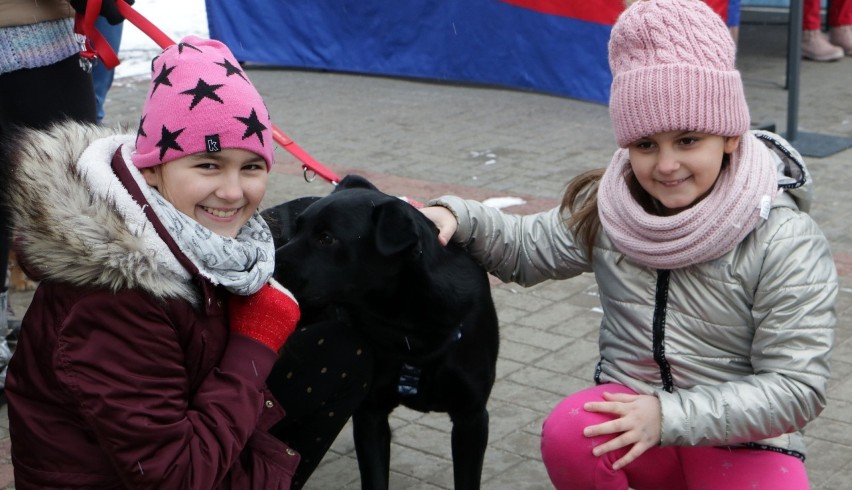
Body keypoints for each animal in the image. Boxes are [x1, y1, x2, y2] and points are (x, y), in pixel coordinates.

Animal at [262, 176, 496, 490]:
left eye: (326, 238)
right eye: (297, 230)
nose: (270, 265)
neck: (408, 327)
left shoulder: (471, 416)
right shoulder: (371, 413)